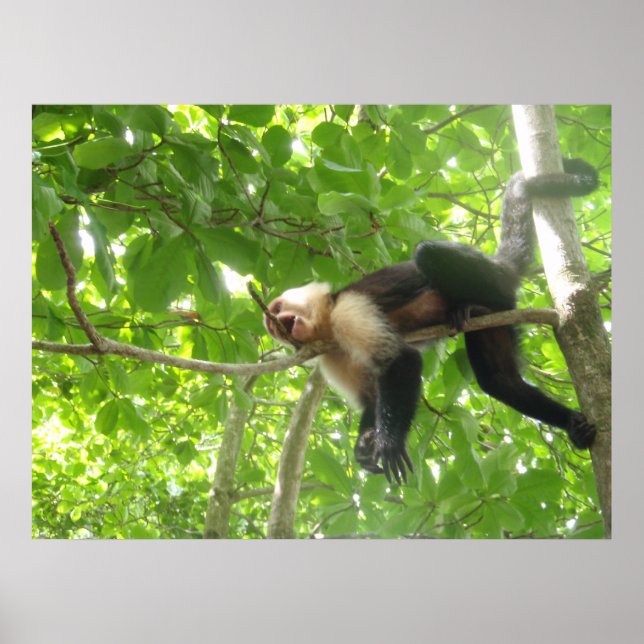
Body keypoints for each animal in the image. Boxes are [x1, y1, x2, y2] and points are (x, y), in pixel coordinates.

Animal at [264, 159, 599, 484]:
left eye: (278, 308)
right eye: (272, 323)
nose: (276, 322)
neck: (328, 325)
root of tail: (498, 266)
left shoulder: (347, 312)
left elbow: (401, 360)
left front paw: (390, 442)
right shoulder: (332, 358)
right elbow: (372, 397)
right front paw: (365, 444)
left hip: (490, 278)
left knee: (426, 253)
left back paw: (469, 305)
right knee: (499, 380)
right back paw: (570, 422)